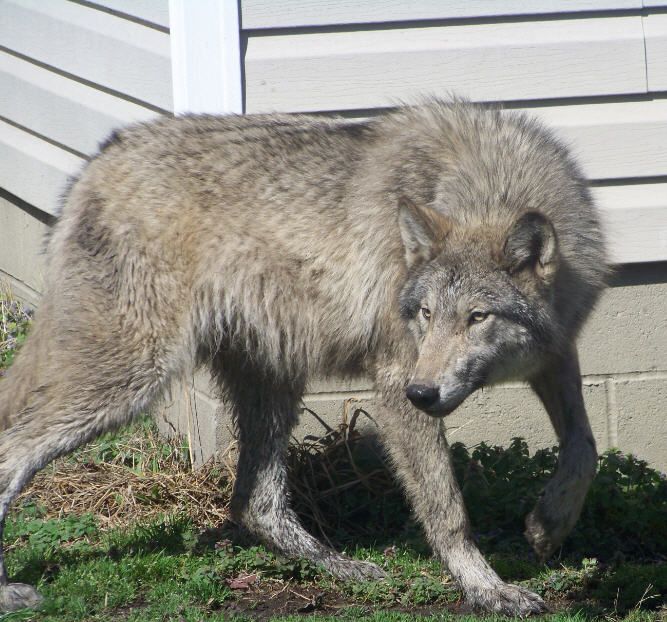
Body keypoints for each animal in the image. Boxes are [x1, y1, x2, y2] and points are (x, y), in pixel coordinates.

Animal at [0, 100, 604, 616]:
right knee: (12, 451)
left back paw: (344, 568)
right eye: (427, 314)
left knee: (254, 503)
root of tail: (99, 158)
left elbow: (585, 448)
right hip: (130, 382)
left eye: (477, 317)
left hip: (272, 380)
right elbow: (447, 509)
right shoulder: (393, 381)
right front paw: (489, 590)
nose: (423, 392)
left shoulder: (556, 356)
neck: (487, 185)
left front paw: (549, 524)